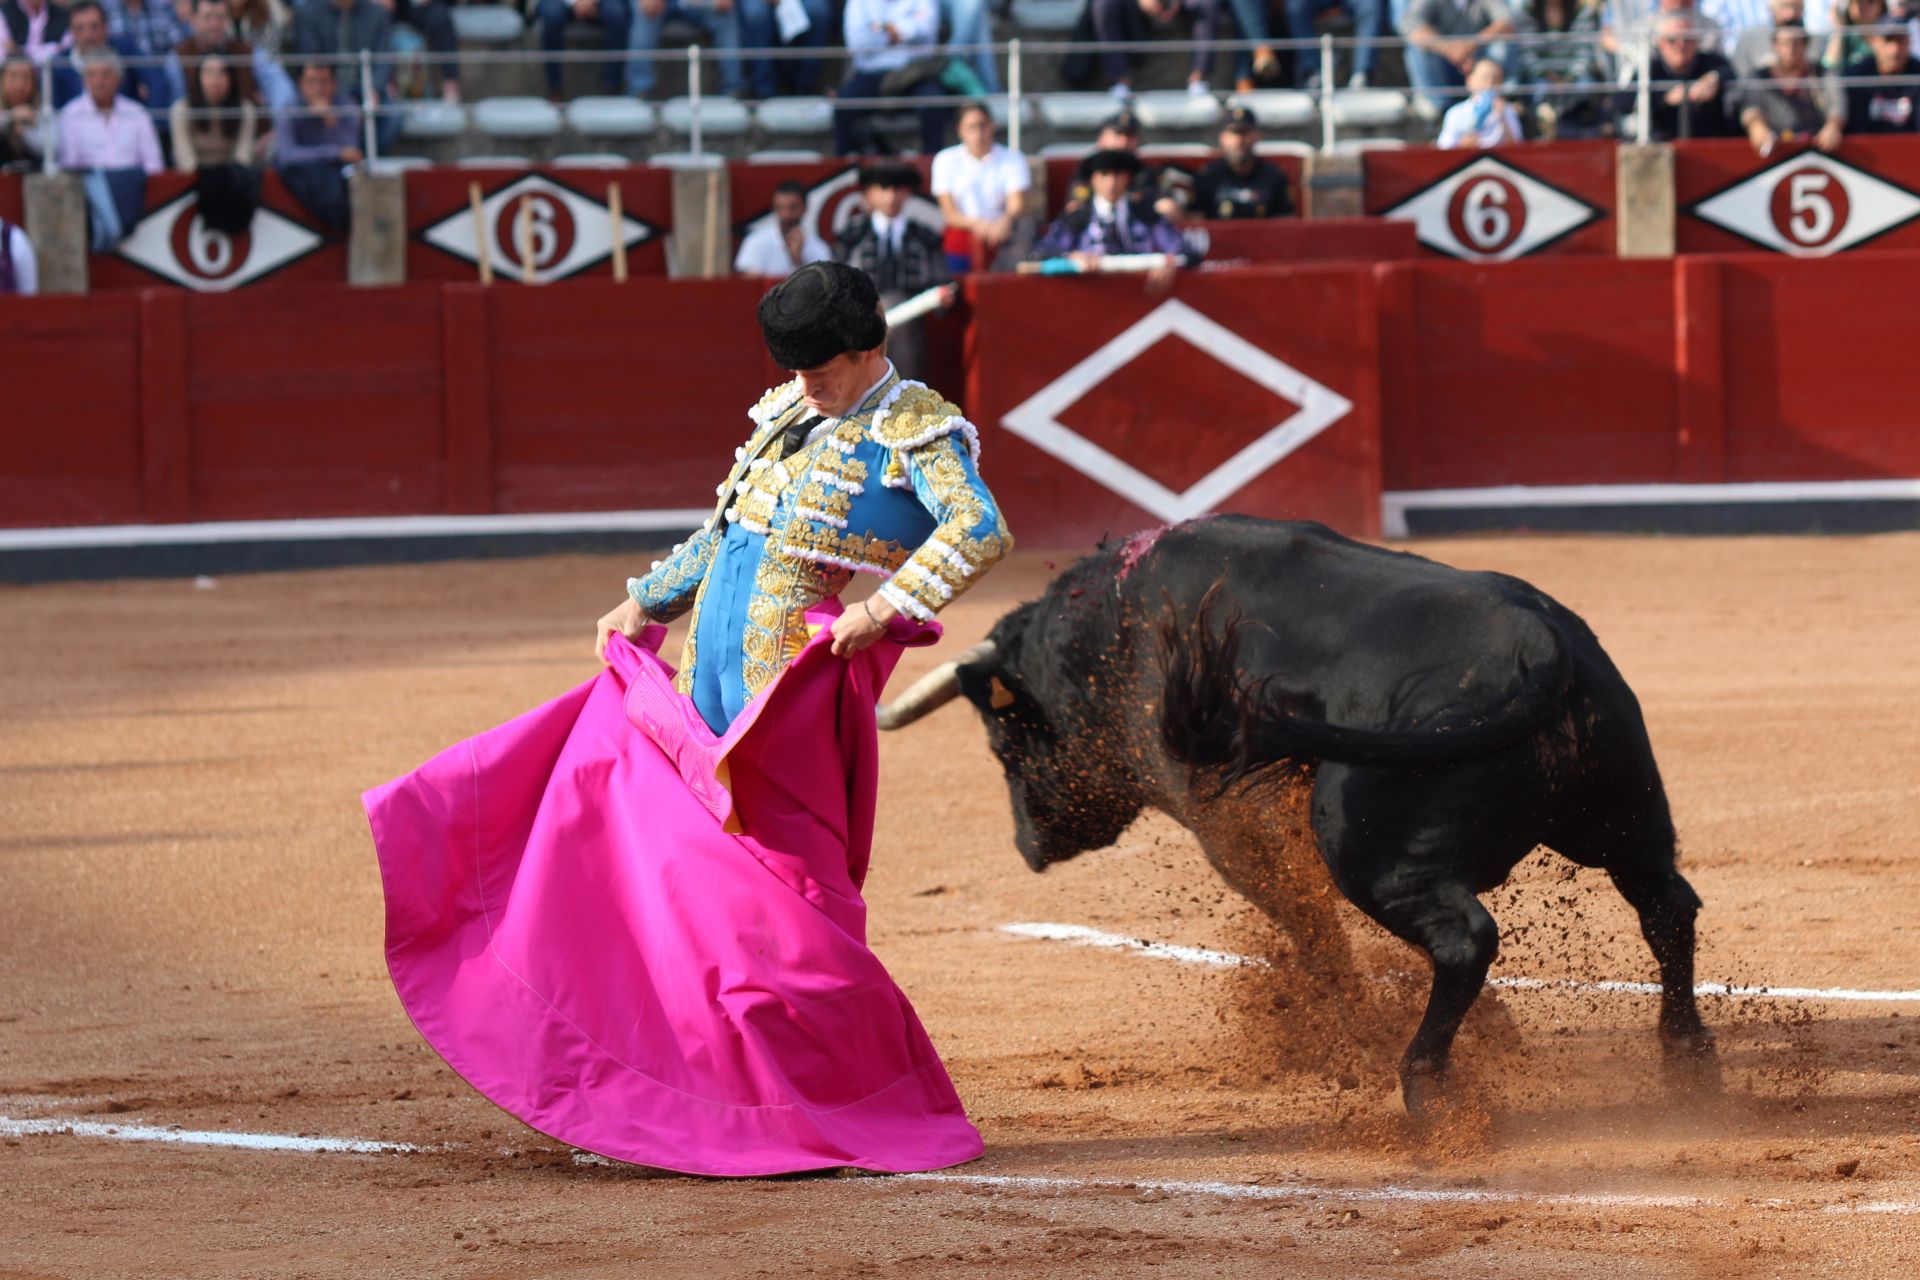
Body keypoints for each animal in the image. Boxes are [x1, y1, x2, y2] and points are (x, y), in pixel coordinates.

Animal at [879, 514, 1720, 1113]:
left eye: (1003, 743)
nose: (1030, 844)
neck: (1107, 634)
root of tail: (1540, 649)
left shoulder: (1228, 828)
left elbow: (1309, 927)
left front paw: (1360, 1040)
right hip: (1625, 815)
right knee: (1666, 905)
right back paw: (1686, 1059)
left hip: (1364, 848)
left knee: (1464, 938)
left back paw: (1422, 1086)